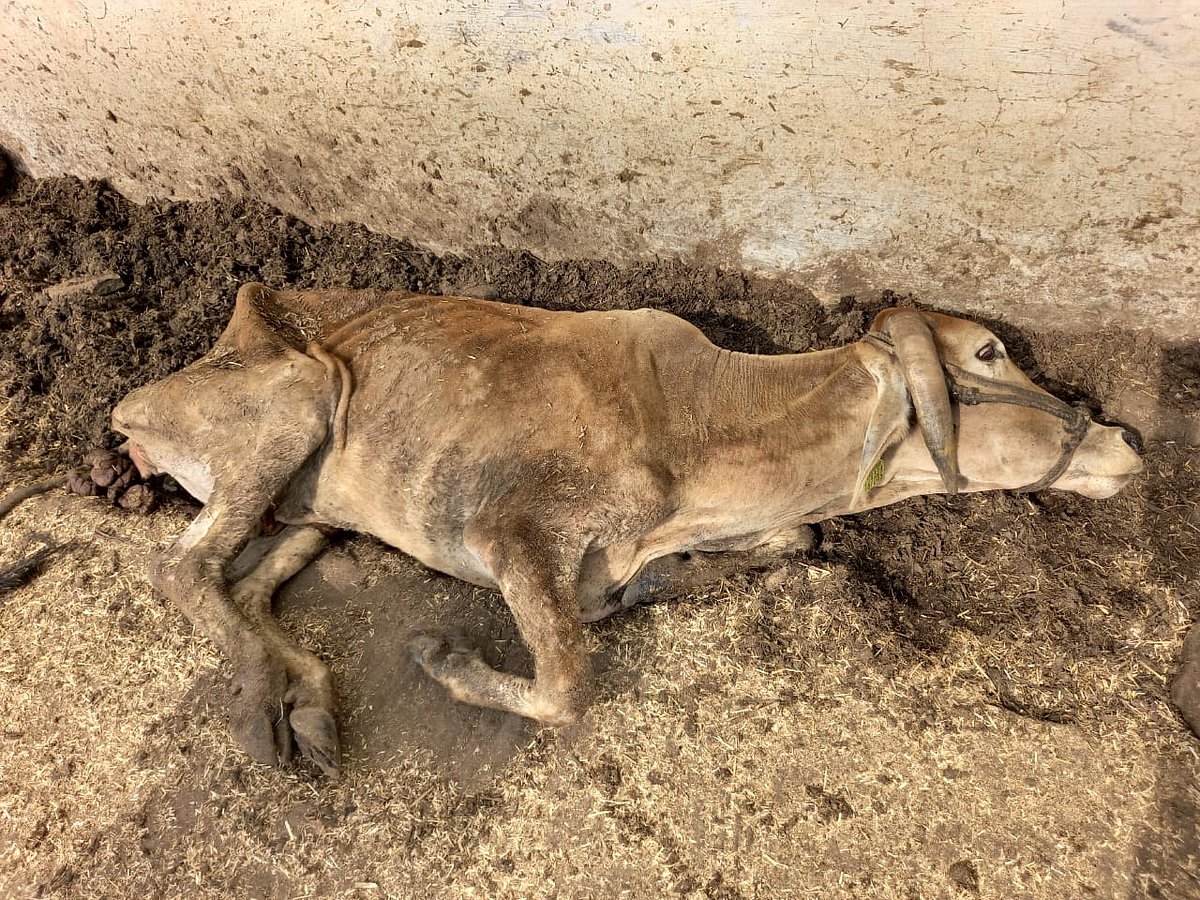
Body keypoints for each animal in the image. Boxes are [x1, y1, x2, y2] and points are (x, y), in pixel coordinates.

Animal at [110, 284, 1143, 776]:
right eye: (991, 352)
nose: (1127, 437)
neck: (698, 434)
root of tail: (143, 393)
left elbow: (791, 545)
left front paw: (646, 583)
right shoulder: (510, 530)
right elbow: (567, 687)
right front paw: (443, 656)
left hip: (309, 505)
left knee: (243, 580)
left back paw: (307, 705)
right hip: (299, 397)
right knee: (182, 571)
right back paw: (263, 710)